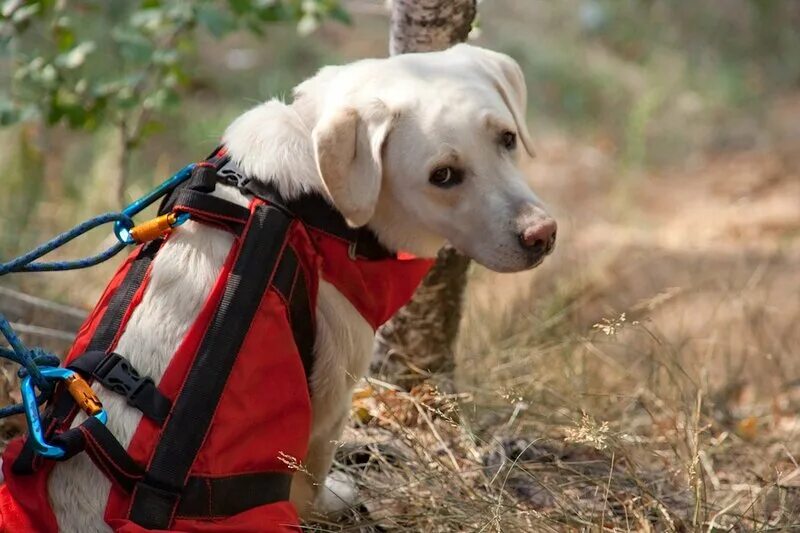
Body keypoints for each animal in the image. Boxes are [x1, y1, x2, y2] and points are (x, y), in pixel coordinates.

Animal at [7, 43, 556, 528]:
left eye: (508, 139)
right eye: (443, 175)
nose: (543, 235)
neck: (316, 201)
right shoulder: (333, 394)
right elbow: (311, 478)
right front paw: (333, 501)